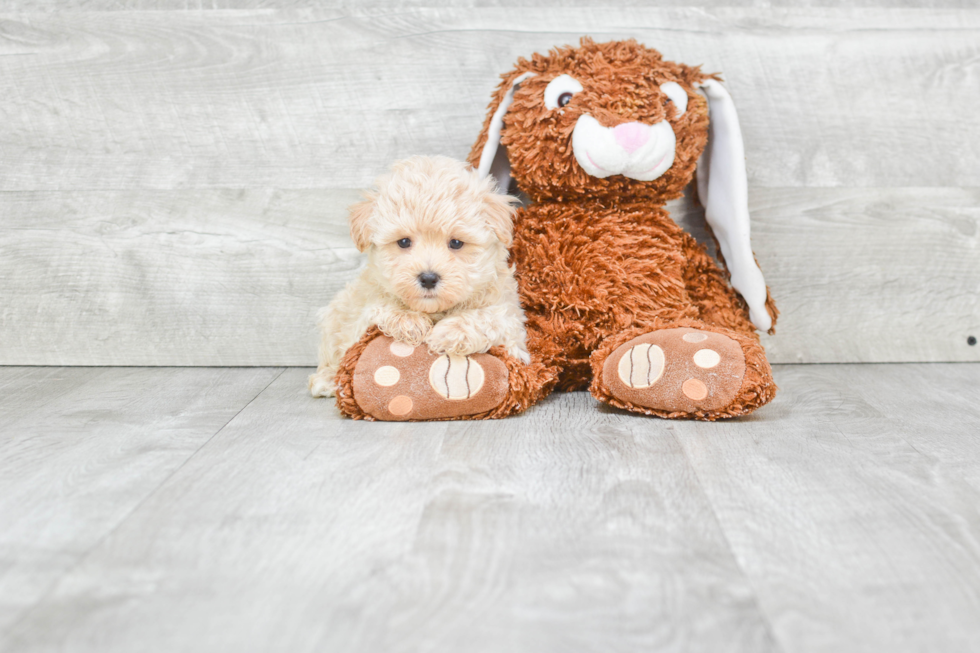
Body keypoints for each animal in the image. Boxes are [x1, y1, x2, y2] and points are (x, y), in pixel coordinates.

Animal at [312, 157, 528, 398]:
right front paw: (409, 321)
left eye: (456, 243)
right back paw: (327, 380)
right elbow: (378, 308)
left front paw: (450, 332)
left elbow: (489, 317)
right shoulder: (360, 319)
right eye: (404, 242)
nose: (428, 278)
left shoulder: (512, 325)